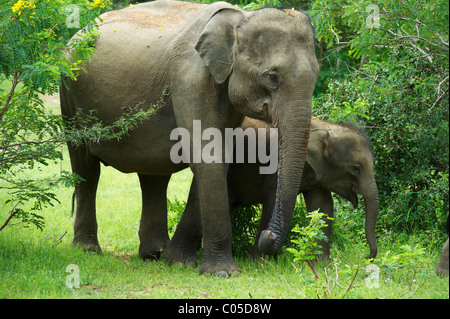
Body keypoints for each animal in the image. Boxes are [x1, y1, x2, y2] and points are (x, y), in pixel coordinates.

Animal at [60, 0, 320, 276]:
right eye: (272, 77)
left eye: (316, 76)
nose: (267, 236)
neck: (240, 18)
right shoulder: (189, 79)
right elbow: (208, 156)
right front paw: (223, 273)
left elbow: (219, 159)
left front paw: (178, 261)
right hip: (69, 93)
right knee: (85, 169)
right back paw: (88, 250)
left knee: (153, 176)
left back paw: (155, 253)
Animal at [163, 117, 378, 264]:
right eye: (356, 168)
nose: (367, 256)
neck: (325, 127)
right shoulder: (276, 167)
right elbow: (273, 201)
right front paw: (259, 263)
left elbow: (322, 206)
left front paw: (321, 262)